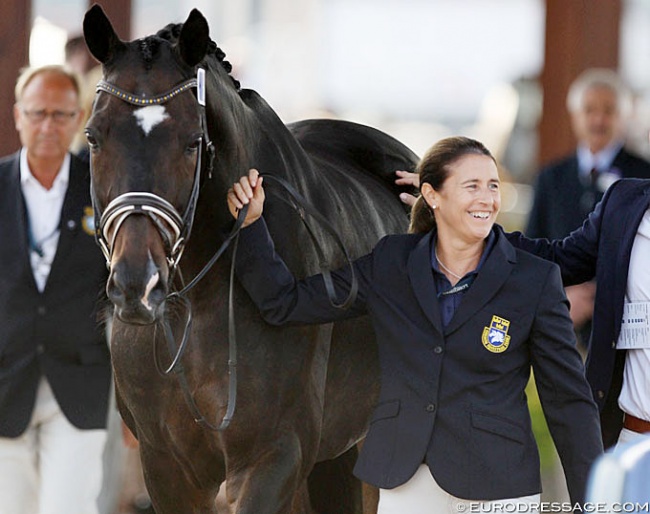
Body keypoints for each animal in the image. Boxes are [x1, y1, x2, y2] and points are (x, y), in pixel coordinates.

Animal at [82, 5, 416, 512]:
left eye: (192, 141)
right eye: (93, 137)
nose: (137, 285)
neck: (199, 302)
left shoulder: (272, 455)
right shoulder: (165, 467)